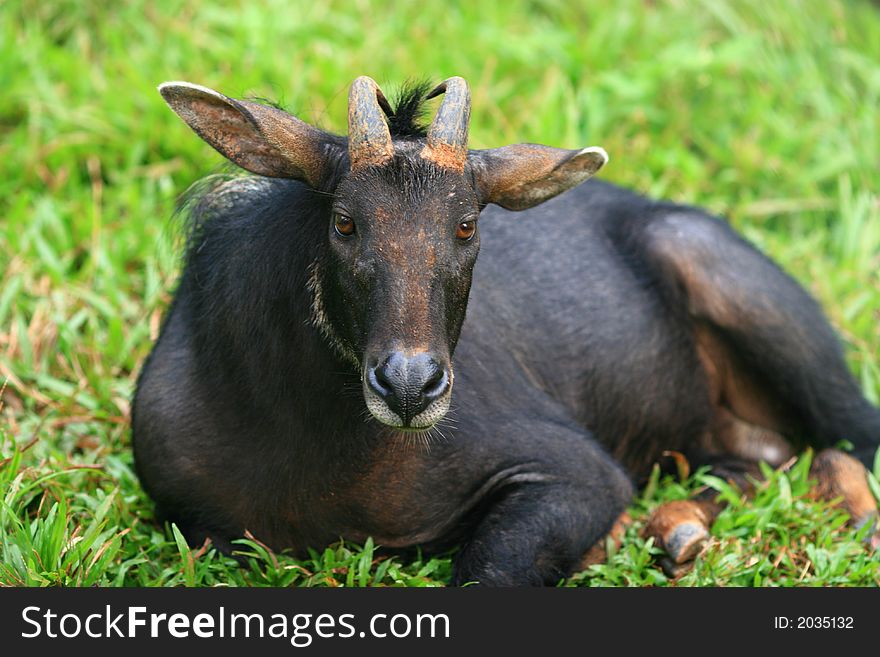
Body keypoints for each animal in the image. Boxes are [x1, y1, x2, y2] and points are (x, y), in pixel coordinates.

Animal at [132, 75, 880, 584]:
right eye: (344, 221)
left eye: (467, 225)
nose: (411, 385)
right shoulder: (194, 522)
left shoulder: (578, 470)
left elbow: (486, 569)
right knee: (767, 455)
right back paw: (677, 531)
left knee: (846, 442)